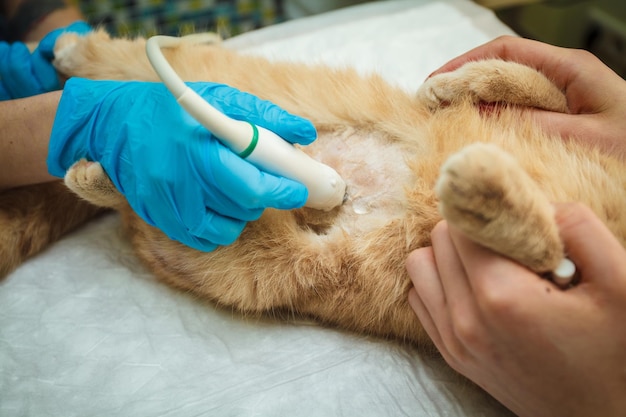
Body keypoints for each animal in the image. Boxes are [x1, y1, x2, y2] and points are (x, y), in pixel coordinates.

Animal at [1, 30, 624, 348]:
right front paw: (449, 87)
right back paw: (71, 59)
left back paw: (104, 166)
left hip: (241, 263)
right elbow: (532, 83)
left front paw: (482, 187)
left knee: (141, 197)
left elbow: (549, 248)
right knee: (118, 63)